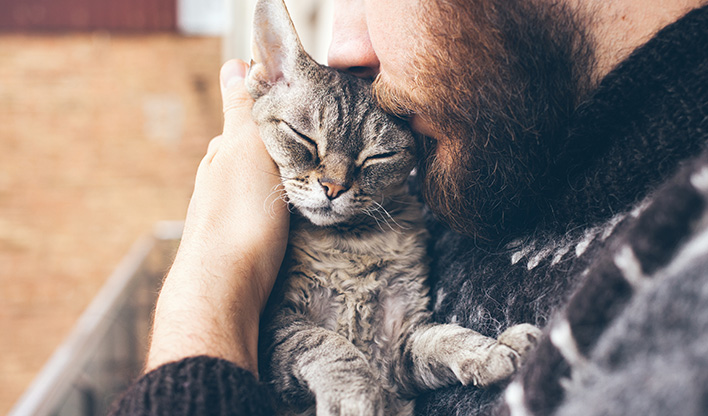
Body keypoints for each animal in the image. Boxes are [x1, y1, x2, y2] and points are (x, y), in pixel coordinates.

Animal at [243, 1, 544, 414]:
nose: (333, 187)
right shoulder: (276, 327)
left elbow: (442, 337)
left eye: (377, 157)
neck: (353, 245)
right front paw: (355, 395)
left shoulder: (400, 343)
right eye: (304, 138)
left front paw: (491, 349)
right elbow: (328, 344)